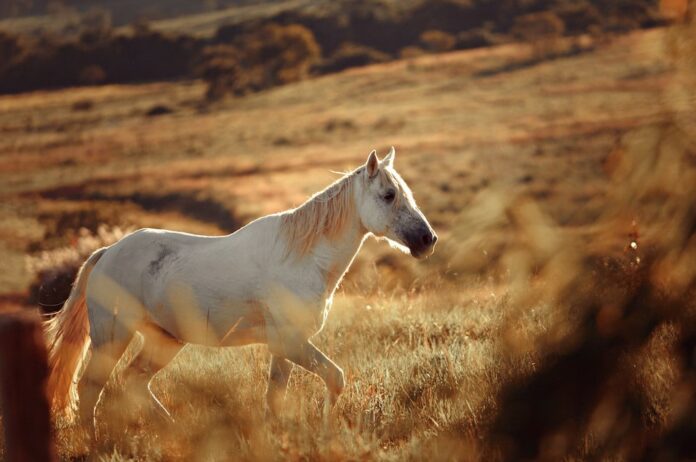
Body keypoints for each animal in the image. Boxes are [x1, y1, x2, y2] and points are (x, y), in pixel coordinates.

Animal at [44, 147, 437, 436]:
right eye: (388, 195)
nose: (427, 240)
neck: (301, 258)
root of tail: (107, 253)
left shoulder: (284, 348)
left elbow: (276, 398)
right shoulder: (291, 343)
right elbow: (335, 378)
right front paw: (326, 431)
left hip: (164, 341)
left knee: (133, 383)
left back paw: (175, 431)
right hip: (112, 337)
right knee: (91, 389)